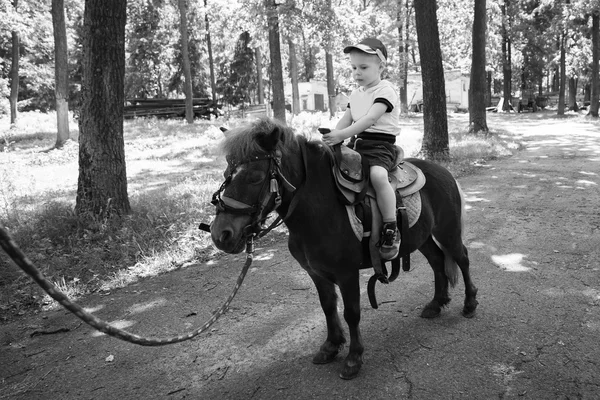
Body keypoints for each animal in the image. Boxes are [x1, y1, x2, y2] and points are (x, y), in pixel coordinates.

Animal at [211, 117, 478, 380]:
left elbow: (352, 312)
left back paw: (469, 304)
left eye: (255, 176)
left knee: (462, 259)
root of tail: (443, 171)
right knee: (437, 260)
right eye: (226, 173)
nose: (220, 234)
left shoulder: (347, 273)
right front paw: (331, 346)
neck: (320, 209)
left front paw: (354, 358)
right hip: (423, 238)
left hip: (448, 230)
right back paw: (436, 303)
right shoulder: (316, 273)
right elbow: (328, 307)